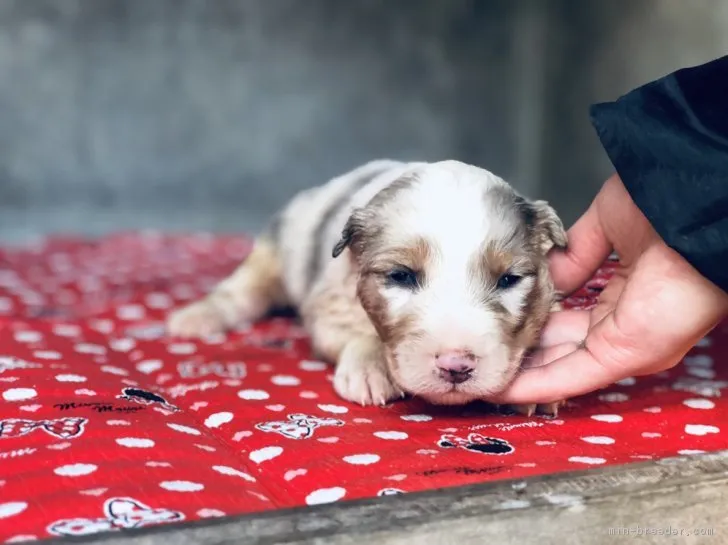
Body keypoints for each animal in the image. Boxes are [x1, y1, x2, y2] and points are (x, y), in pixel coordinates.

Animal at [166, 159, 568, 414]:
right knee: (243, 289)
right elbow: (357, 333)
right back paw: (196, 318)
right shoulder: (329, 303)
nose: (456, 367)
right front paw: (369, 368)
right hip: (274, 250)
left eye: (508, 280)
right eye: (401, 276)